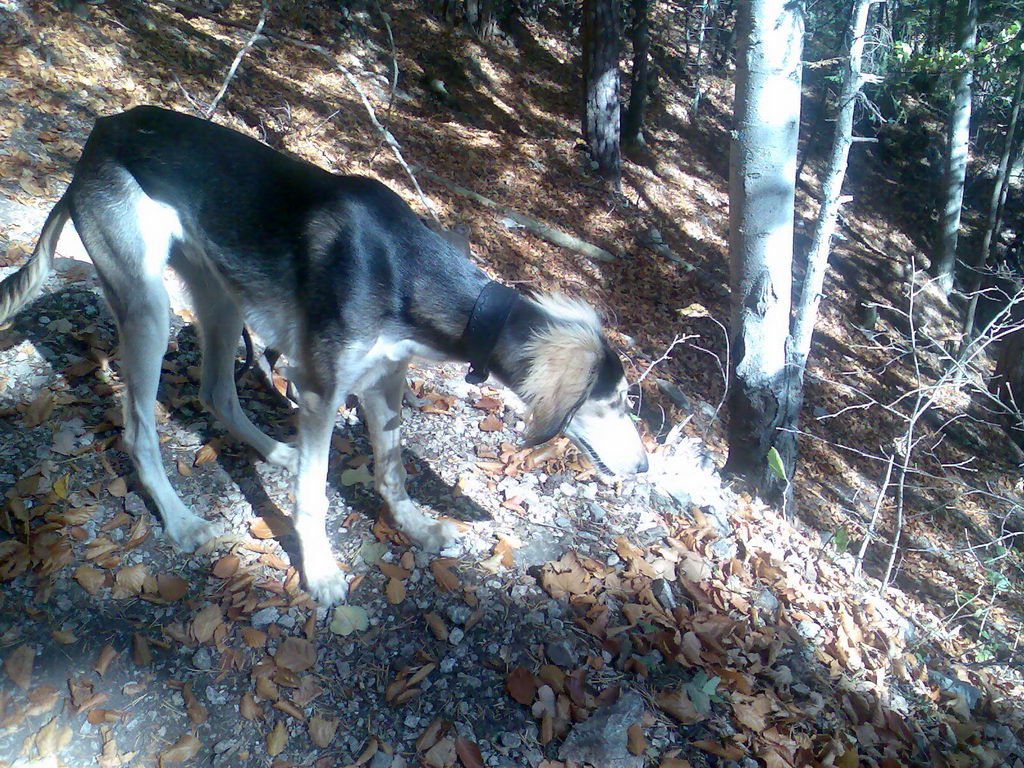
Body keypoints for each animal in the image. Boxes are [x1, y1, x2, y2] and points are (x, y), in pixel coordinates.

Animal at [0, 107, 647, 606]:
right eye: (613, 401)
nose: (643, 468)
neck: (405, 267)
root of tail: (100, 133)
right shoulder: (318, 390)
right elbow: (312, 498)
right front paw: (321, 570)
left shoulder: (384, 382)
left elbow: (392, 469)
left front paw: (414, 528)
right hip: (147, 305)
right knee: (140, 431)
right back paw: (182, 521)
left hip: (221, 295)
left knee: (216, 393)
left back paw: (274, 452)